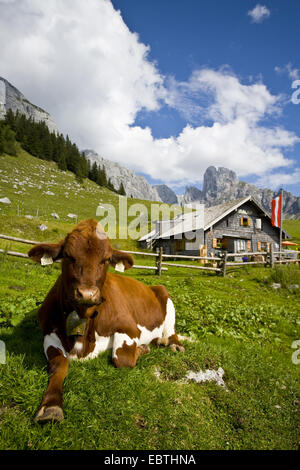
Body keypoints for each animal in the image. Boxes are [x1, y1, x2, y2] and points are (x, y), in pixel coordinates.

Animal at [28, 218, 184, 424]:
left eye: (106, 259)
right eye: (68, 256)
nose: (87, 294)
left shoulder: (129, 328)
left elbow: (122, 359)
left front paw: (142, 349)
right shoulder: (48, 331)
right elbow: (59, 363)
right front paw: (51, 405)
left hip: (166, 296)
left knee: (171, 331)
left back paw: (172, 344)